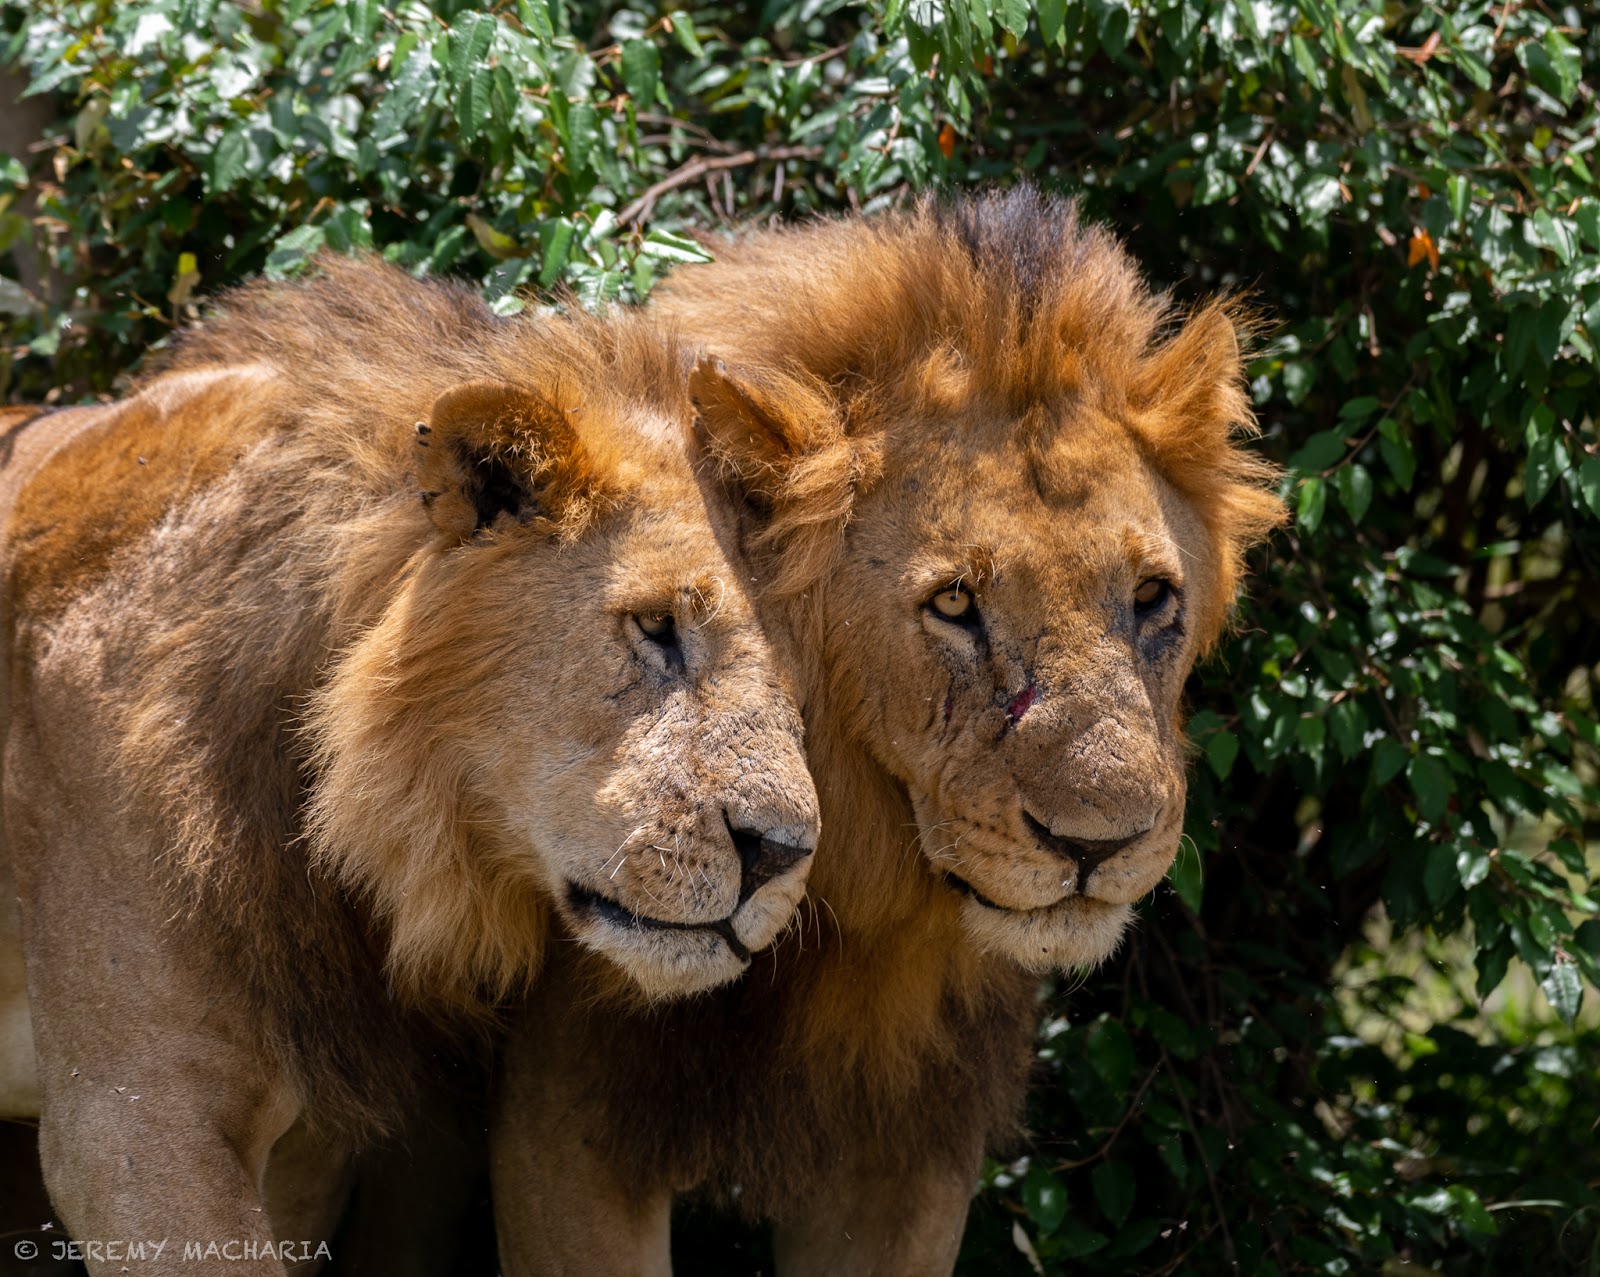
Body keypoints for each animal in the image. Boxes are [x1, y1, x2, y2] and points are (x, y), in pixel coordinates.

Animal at [488, 188, 1285, 1274]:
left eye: (1153, 596)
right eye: (954, 603)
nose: (1097, 845)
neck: (852, 916)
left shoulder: (908, 1155)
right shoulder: (569, 1127)